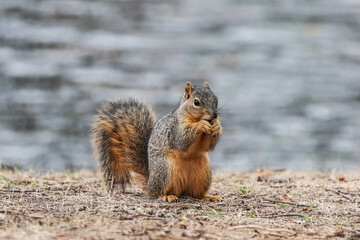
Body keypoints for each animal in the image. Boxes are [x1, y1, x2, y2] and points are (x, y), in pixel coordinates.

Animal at [90, 81, 222, 202]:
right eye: (196, 102)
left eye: (216, 99)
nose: (214, 115)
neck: (194, 118)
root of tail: (149, 182)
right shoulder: (175, 129)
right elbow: (183, 140)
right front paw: (201, 125)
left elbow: (207, 146)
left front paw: (217, 127)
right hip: (164, 169)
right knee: (157, 192)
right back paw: (167, 196)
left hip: (203, 174)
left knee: (195, 194)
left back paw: (208, 197)